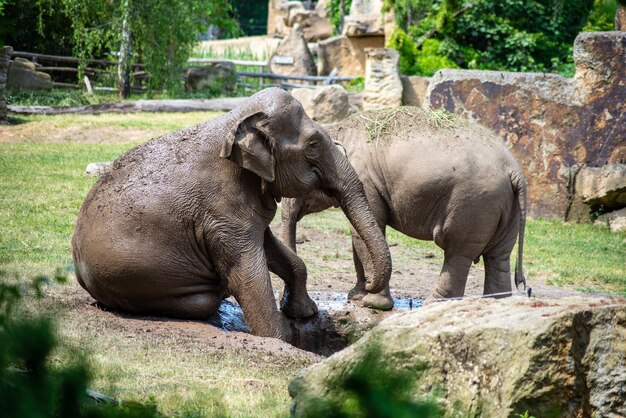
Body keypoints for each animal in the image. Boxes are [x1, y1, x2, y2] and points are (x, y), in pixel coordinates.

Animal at [70, 90, 388, 348]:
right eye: (313, 145)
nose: (367, 288)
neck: (235, 120)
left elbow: (273, 249)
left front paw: (305, 313)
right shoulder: (221, 208)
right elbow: (247, 274)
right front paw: (282, 340)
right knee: (204, 301)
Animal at [280, 108, 524, 310]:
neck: (336, 130)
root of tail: (514, 170)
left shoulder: (365, 181)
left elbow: (362, 232)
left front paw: (371, 302)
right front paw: (357, 296)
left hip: (473, 205)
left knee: (458, 253)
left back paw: (432, 304)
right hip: (506, 208)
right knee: (498, 256)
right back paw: (496, 305)